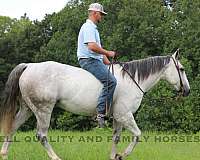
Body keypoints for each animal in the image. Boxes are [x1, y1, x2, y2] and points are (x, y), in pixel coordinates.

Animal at [0, 49, 190, 159]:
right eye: (181, 69)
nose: (187, 91)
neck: (133, 80)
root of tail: (29, 66)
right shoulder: (125, 115)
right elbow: (137, 135)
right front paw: (122, 155)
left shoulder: (118, 118)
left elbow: (116, 137)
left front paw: (114, 156)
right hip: (43, 110)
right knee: (41, 135)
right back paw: (56, 157)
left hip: (27, 109)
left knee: (12, 128)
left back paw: (4, 154)